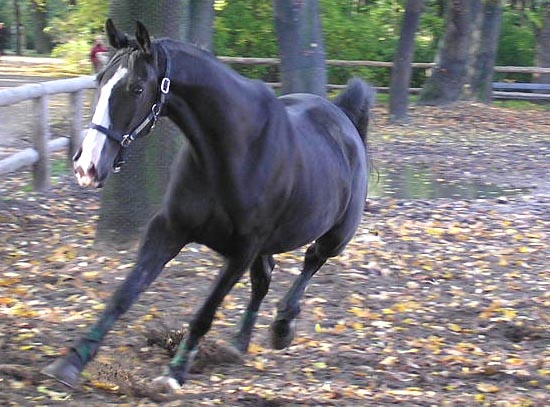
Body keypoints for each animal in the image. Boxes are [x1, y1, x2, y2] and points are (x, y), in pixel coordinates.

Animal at [43, 20, 378, 390]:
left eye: (137, 88)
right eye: (99, 80)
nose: (86, 167)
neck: (229, 150)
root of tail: (344, 118)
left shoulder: (243, 249)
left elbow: (205, 311)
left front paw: (175, 372)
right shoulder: (169, 229)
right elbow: (124, 294)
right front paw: (72, 361)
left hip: (334, 237)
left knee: (311, 262)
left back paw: (282, 326)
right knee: (264, 278)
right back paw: (238, 344)